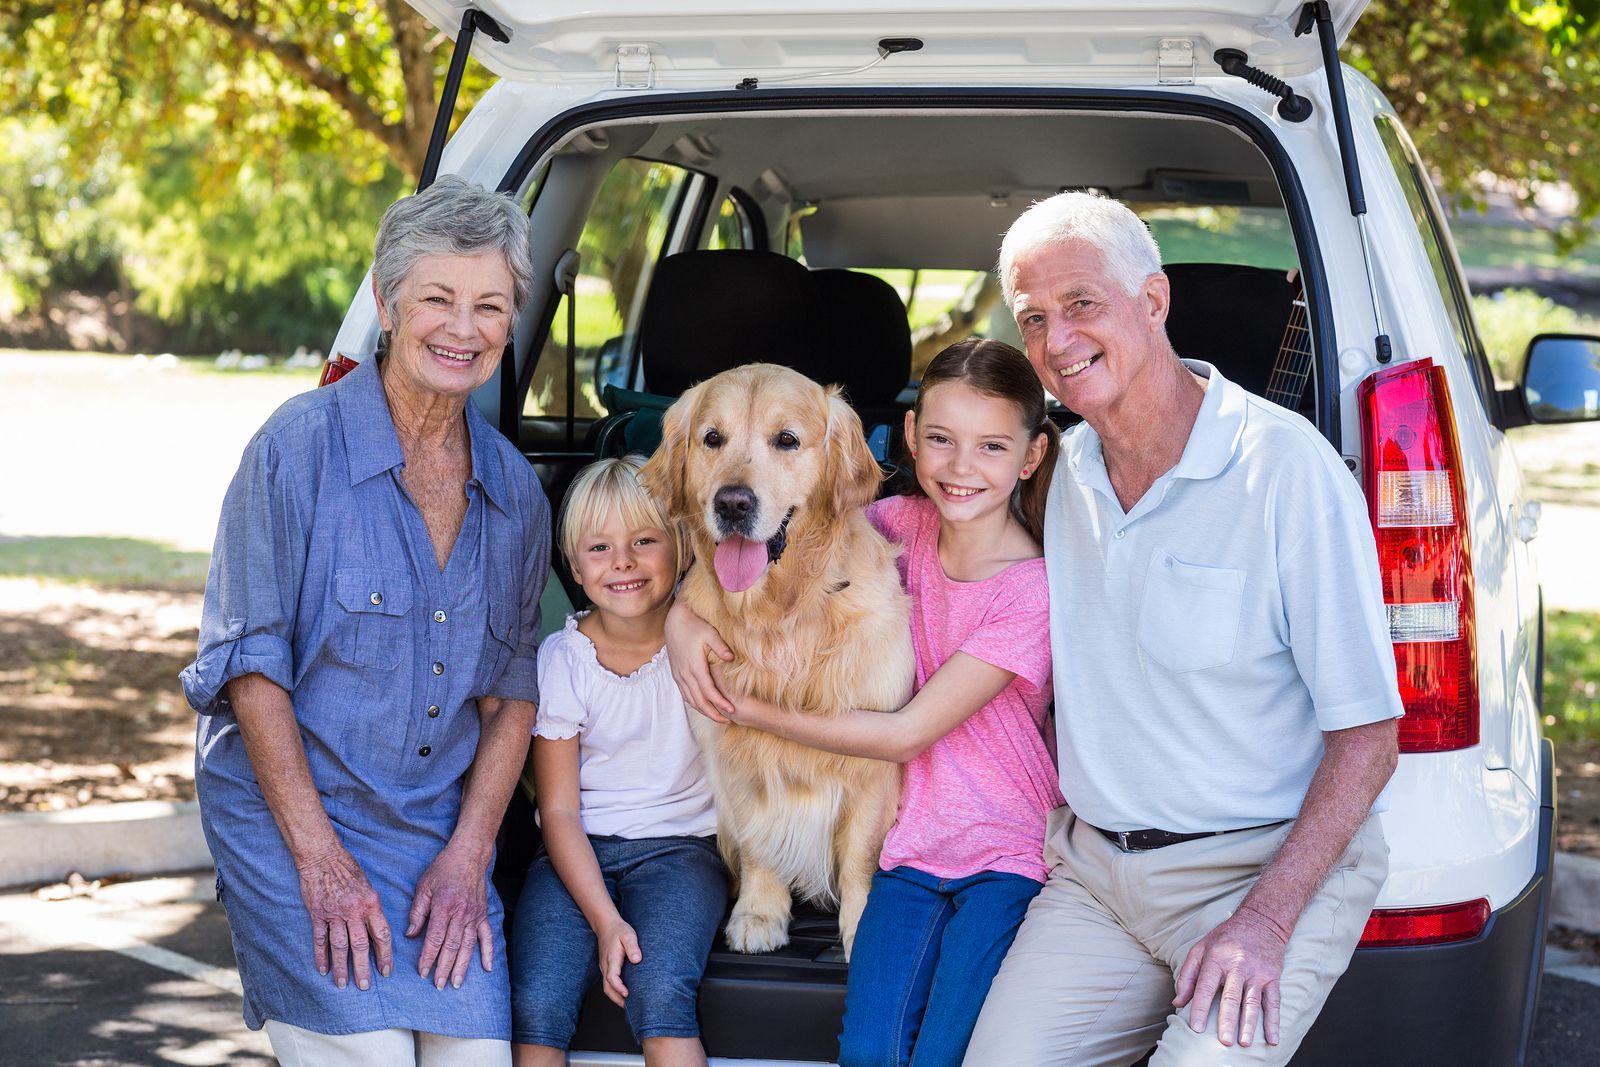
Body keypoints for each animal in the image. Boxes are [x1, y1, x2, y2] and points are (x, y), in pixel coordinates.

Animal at [636, 363, 915, 953]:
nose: (732, 504)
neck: (783, 614)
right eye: (711, 438)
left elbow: (861, 855)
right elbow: (759, 841)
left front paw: (860, 927)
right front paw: (760, 914)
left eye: (786, 440)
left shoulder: (877, 761)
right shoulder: (735, 754)